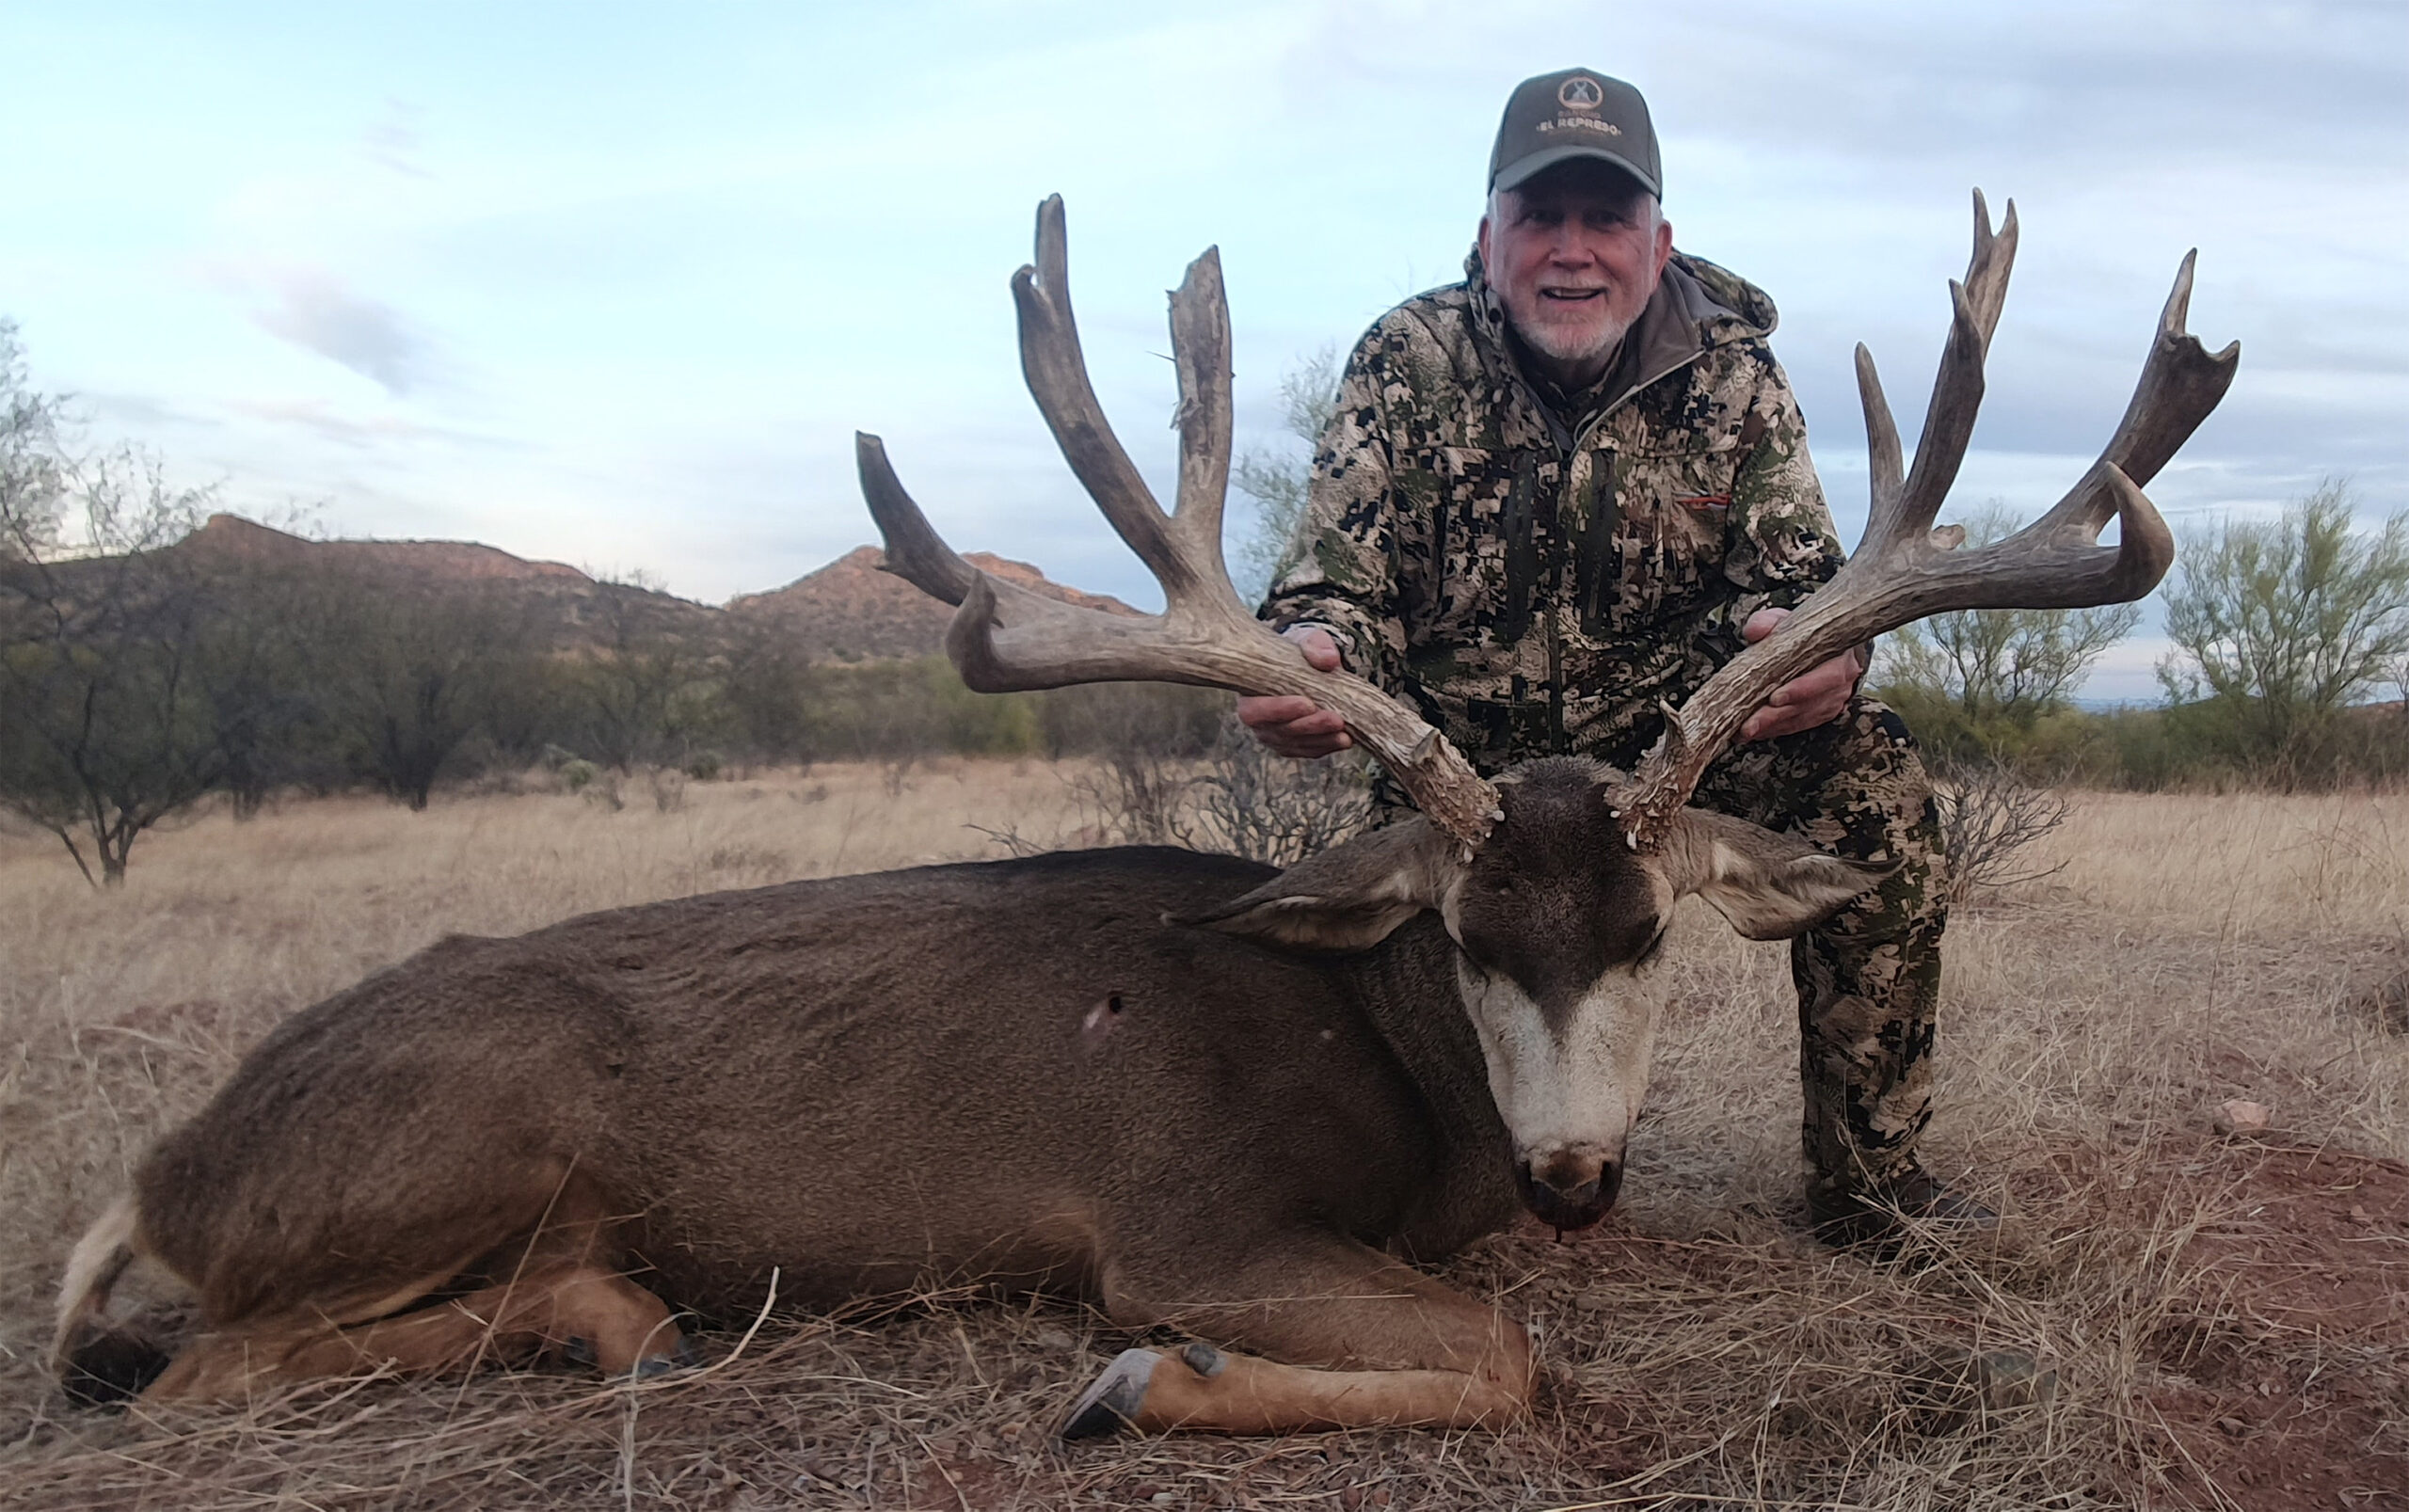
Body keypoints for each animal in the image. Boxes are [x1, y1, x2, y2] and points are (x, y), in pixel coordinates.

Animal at [53, 192, 2234, 1438]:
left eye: (1645, 932)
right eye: (1463, 935)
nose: (1569, 1179)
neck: (1399, 1072)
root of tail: (162, 1169)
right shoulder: (1179, 1212)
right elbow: (1499, 1353)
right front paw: (1133, 1382)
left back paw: (628, 1319)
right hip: (470, 1134)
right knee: (190, 1364)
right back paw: (602, 1324)